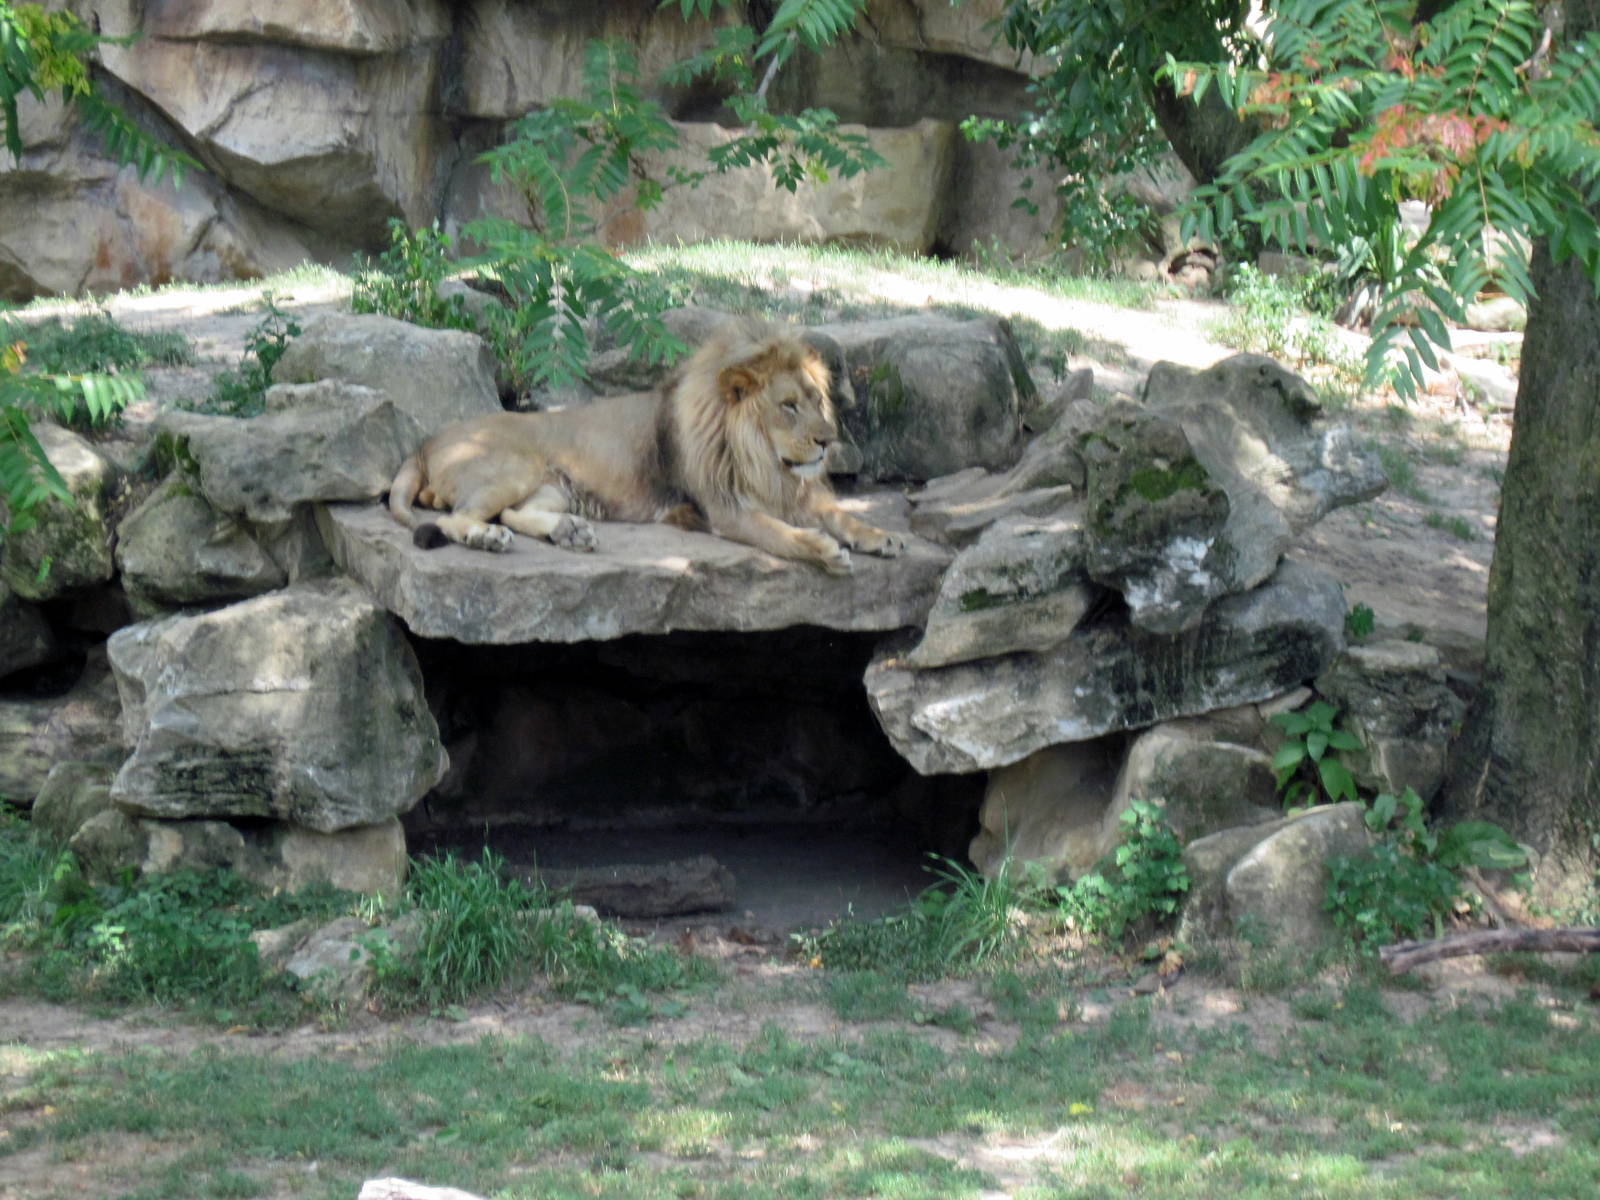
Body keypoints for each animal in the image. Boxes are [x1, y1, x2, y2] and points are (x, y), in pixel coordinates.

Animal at [386, 316, 905, 574]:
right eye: (788, 406)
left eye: (816, 399)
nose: (828, 440)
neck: (764, 461)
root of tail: (424, 443)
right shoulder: (724, 510)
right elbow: (779, 533)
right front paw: (822, 549)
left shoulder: (796, 493)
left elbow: (840, 514)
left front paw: (881, 536)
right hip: (511, 469)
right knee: (457, 518)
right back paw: (486, 538)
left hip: (553, 486)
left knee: (513, 513)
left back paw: (570, 533)